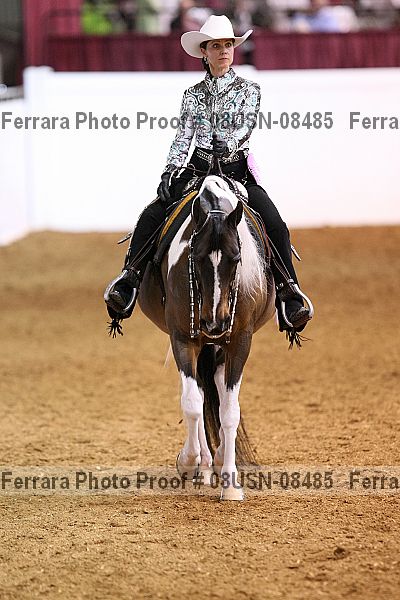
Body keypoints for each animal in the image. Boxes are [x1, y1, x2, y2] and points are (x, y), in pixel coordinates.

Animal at [138, 174, 276, 500]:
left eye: (236, 258)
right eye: (196, 257)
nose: (214, 323)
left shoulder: (240, 341)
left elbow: (229, 410)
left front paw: (231, 484)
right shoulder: (183, 338)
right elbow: (191, 402)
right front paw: (189, 462)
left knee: (218, 389)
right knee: (200, 393)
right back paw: (203, 465)